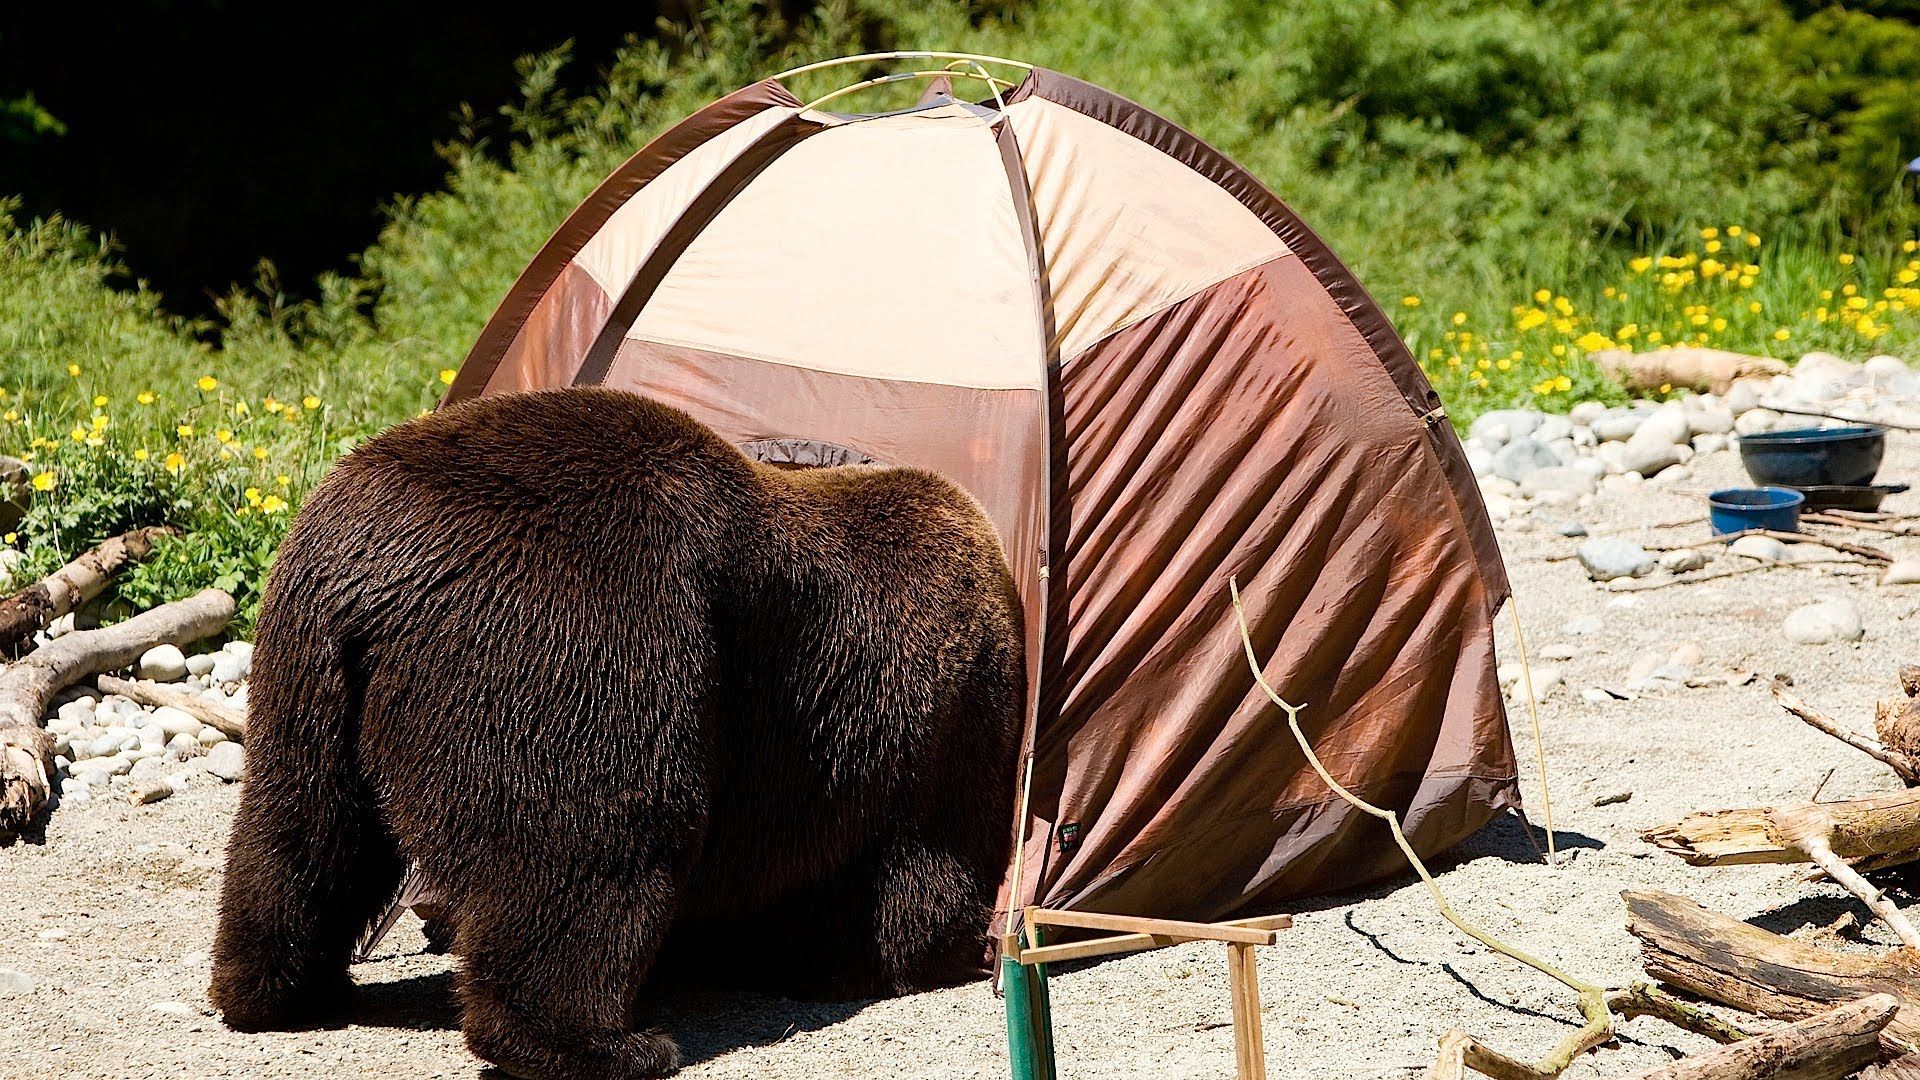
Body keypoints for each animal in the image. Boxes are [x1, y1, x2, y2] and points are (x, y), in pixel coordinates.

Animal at [202, 388, 1029, 1076]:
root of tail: (374, 577)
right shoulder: (925, 726)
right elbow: (917, 872)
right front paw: (915, 954)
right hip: (586, 642)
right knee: (592, 847)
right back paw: (602, 1043)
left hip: (307, 671)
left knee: (300, 831)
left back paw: (279, 990)